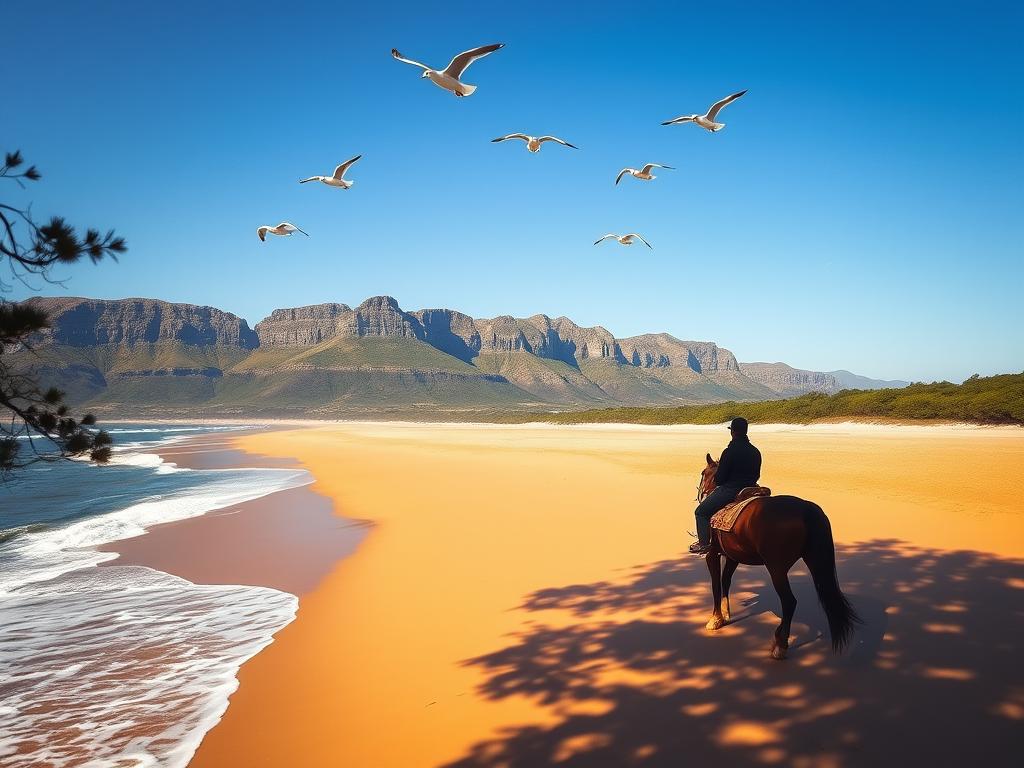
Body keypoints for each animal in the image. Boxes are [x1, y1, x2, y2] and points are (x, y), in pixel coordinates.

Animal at [697, 453, 861, 659]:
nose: (701, 492)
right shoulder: (733, 556)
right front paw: (726, 614)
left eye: (704, 472)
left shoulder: (712, 553)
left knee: (789, 602)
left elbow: (715, 585)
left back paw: (780, 645)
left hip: (776, 568)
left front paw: (715, 619)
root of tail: (807, 510)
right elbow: (725, 581)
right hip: (814, 559)